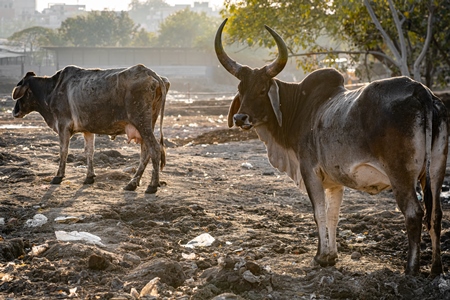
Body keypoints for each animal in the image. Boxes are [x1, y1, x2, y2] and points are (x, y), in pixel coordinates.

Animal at [12, 64, 171, 193]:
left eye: (21, 93)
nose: (14, 112)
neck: (51, 89)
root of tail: (151, 73)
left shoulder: (63, 125)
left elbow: (63, 151)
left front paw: (58, 176)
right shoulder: (87, 129)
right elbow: (89, 151)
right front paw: (89, 177)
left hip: (141, 123)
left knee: (154, 149)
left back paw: (152, 185)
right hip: (146, 125)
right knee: (146, 152)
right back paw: (132, 183)